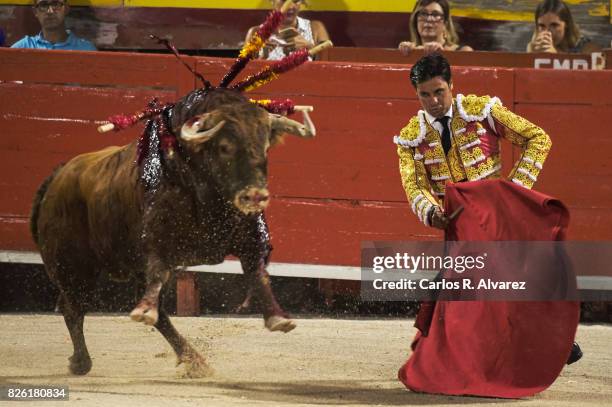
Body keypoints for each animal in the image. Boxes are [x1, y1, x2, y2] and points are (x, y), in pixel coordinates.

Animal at [29, 87, 316, 378]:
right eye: (225, 147)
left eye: (265, 146)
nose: (255, 195)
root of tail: (57, 177)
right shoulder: (157, 241)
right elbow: (157, 271)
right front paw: (144, 310)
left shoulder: (250, 239)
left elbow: (259, 274)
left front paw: (278, 317)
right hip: (72, 267)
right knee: (72, 309)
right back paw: (81, 361)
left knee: (157, 314)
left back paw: (193, 359)